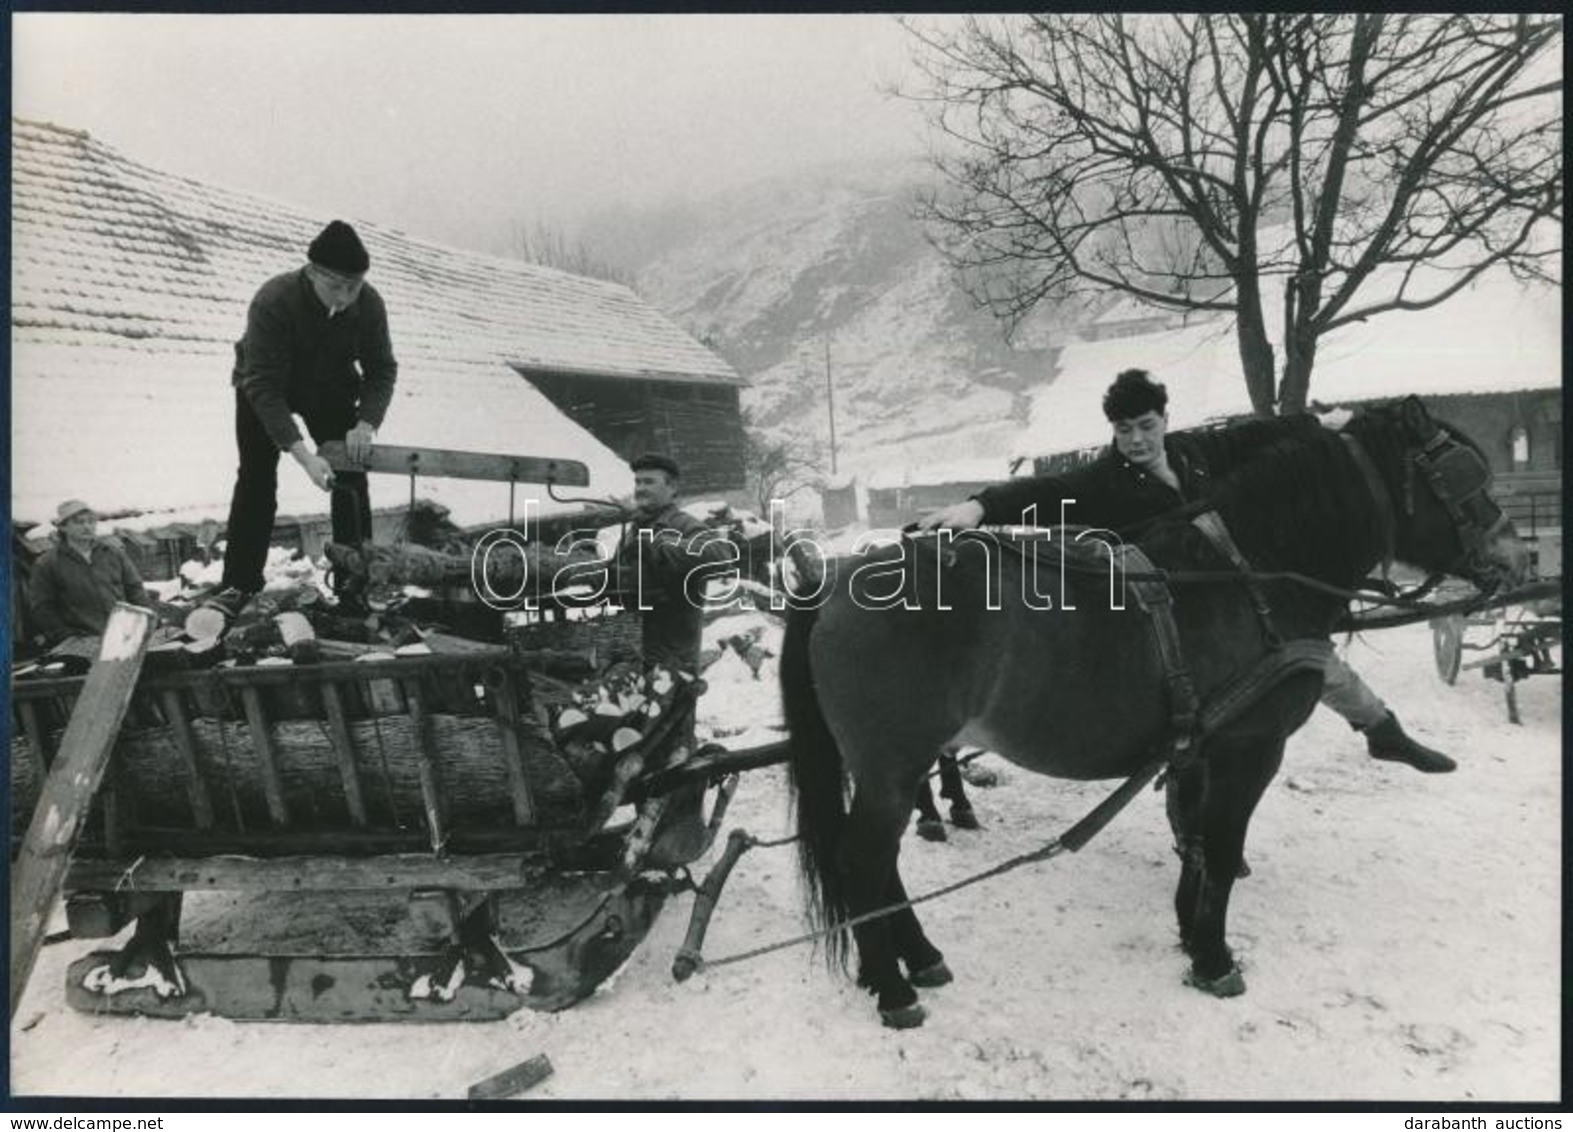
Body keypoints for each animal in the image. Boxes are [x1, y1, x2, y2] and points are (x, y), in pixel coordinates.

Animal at [783, 402, 1522, 1031]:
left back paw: (919, 957)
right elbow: (1219, 847)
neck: (1248, 575)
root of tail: (837, 579)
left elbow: (1195, 840)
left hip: (888, 770)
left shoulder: (1197, 748)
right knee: (863, 861)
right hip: (893, 766)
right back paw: (893, 987)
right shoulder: (1249, 747)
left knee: (880, 864)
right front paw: (1214, 959)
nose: (1515, 557)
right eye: (1466, 475)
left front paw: (1189, 931)